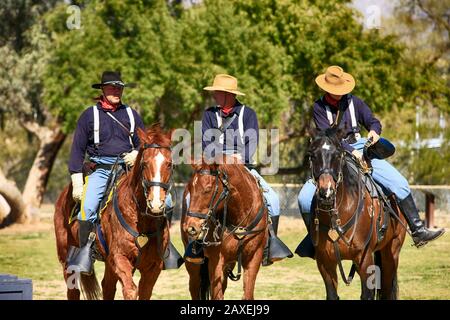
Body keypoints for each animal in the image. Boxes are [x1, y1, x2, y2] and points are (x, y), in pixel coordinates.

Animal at [53, 125, 177, 300]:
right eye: (145, 163)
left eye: (169, 164)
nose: (156, 204)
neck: (142, 220)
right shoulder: (120, 258)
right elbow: (130, 290)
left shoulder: (153, 267)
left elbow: (144, 291)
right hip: (67, 260)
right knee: (73, 290)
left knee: (107, 286)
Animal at [181, 156, 268, 302]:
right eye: (190, 188)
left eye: (208, 189)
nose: (191, 227)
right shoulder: (216, 261)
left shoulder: (254, 258)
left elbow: (248, 294)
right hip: (193, 265)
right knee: (194, 288)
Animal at [310, 129, 408, 300]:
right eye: (313, 155)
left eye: (337, 155)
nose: (326, 192)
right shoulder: (325, 262)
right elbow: (332, 294)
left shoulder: (365, 259)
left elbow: (367, 294)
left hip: (392, 251)